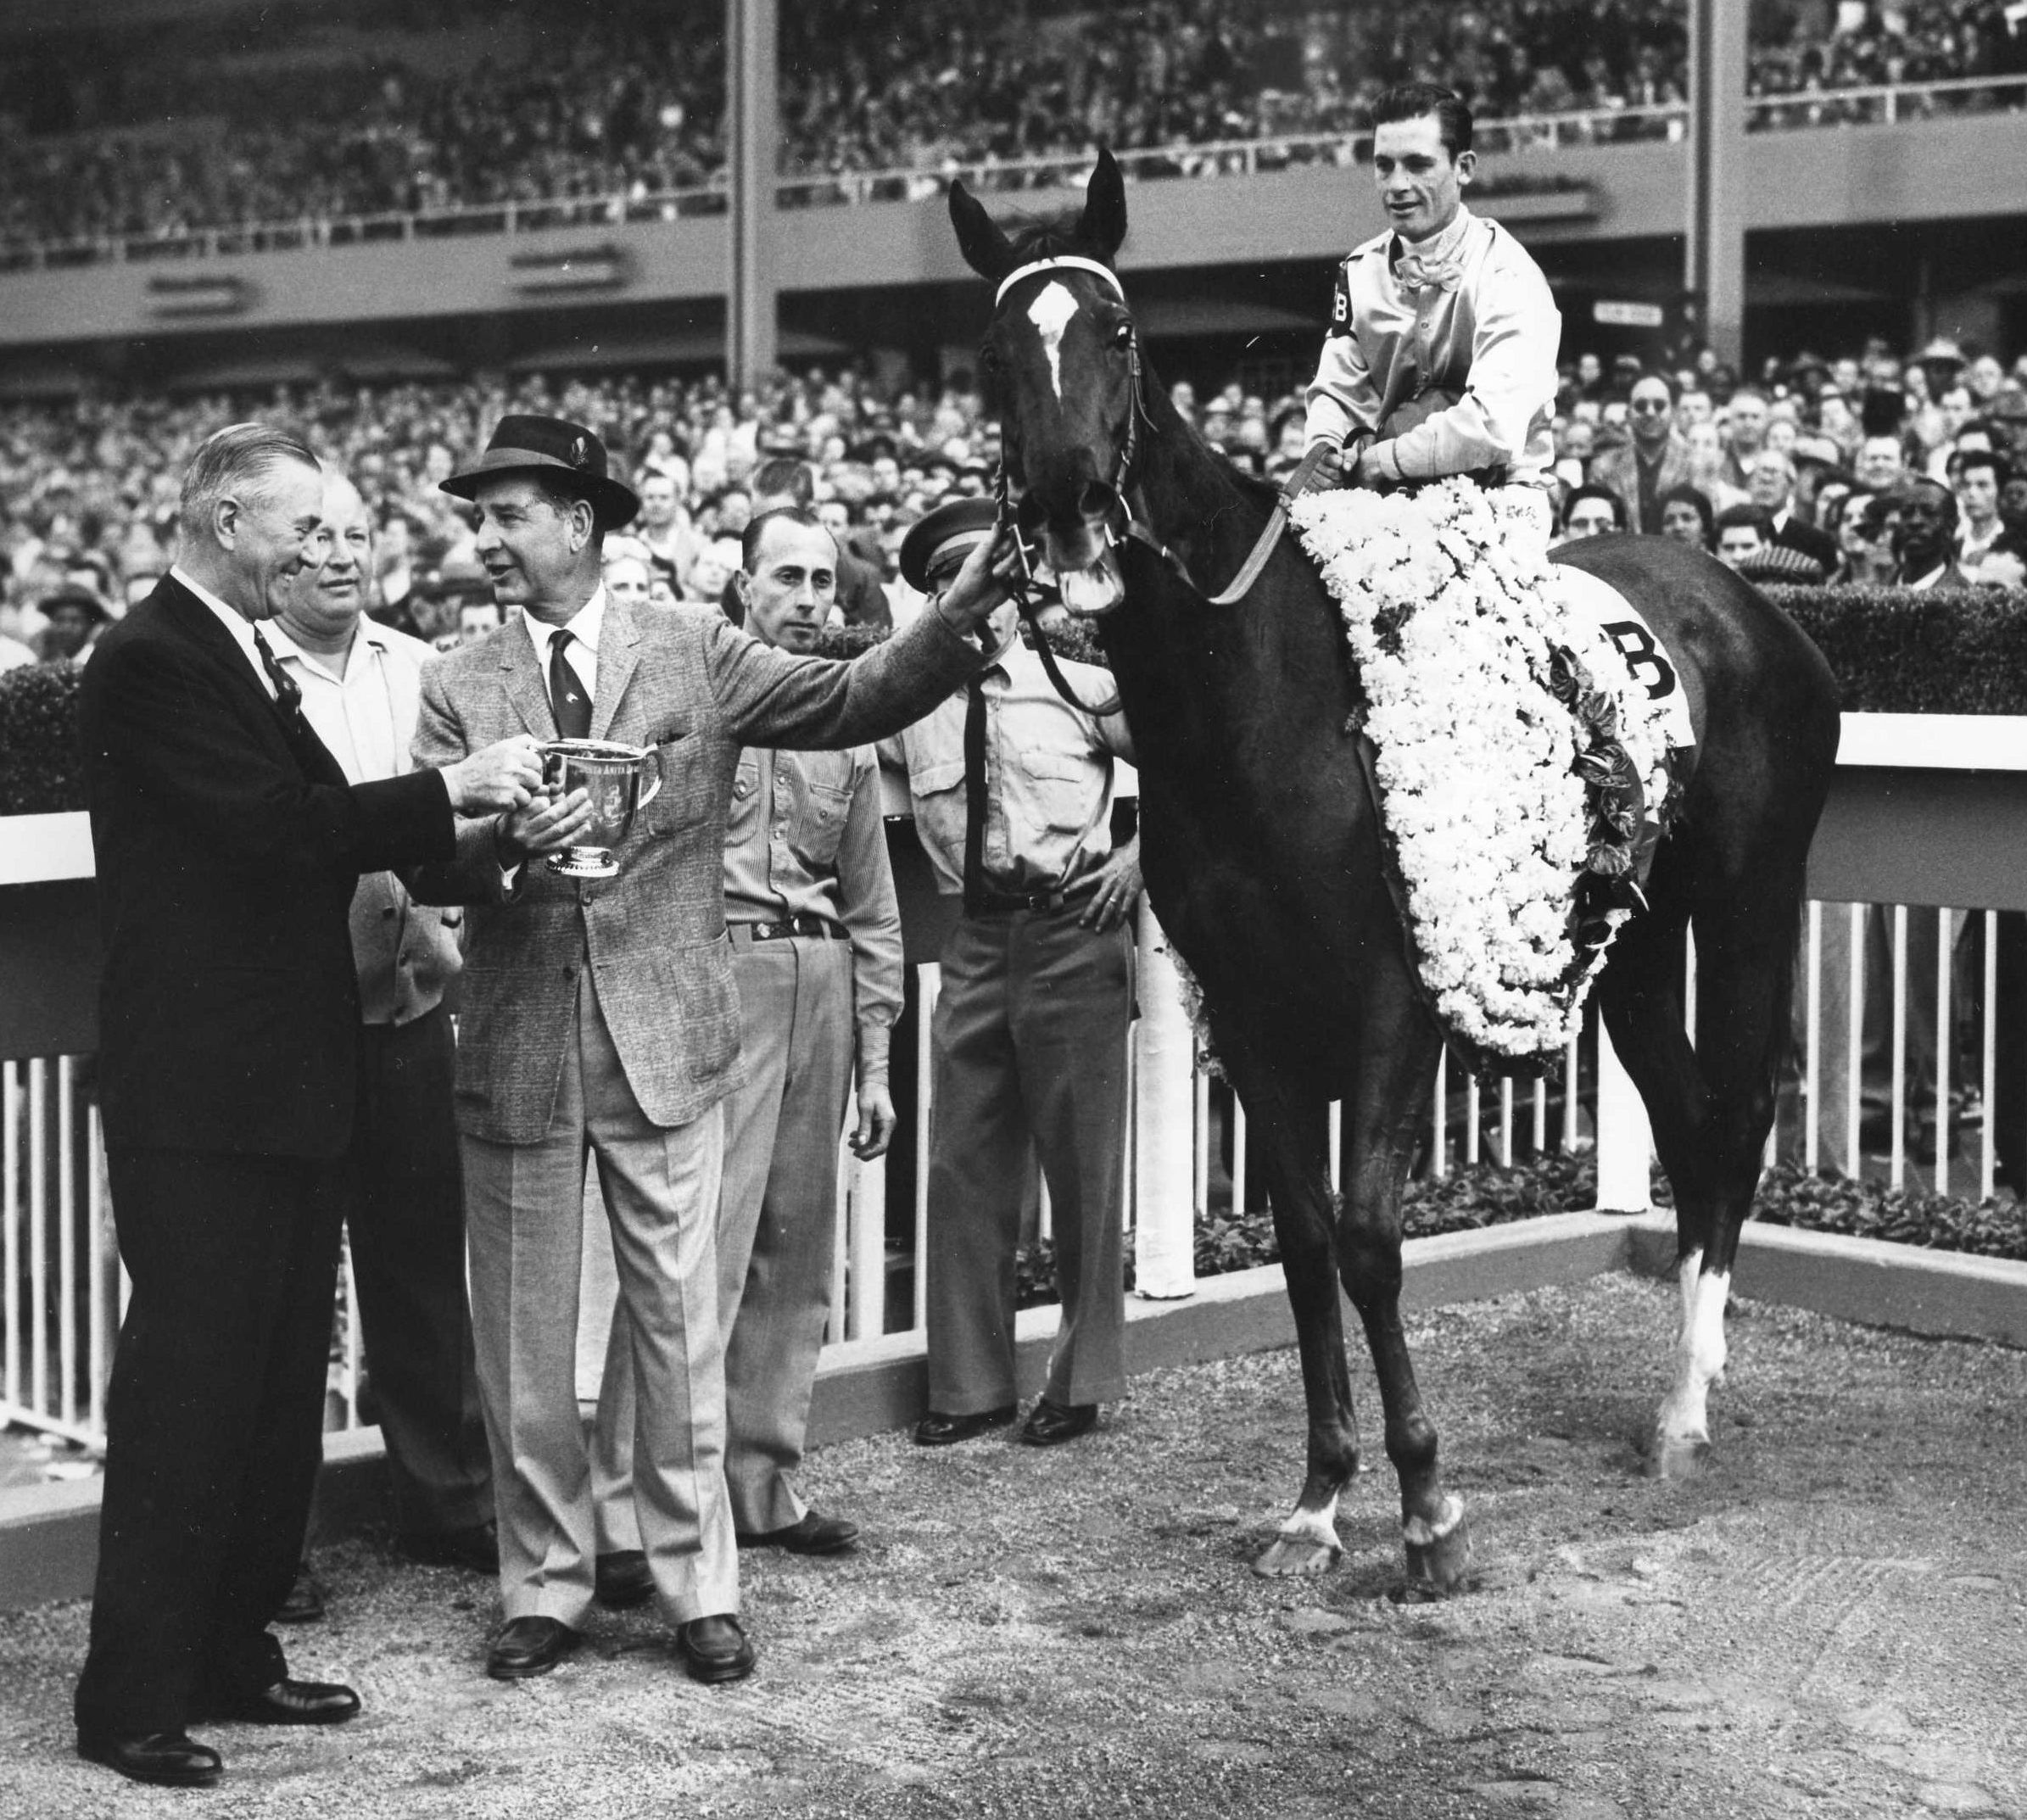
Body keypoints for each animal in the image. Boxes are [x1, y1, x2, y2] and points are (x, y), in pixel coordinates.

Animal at [948, 156, 1840, 1581]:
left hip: (1751, 898)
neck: (1260, 689)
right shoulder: (1249, 1004)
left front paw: (1425, 1502)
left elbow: (1370, 1236)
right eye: (992, 353)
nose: (1072, 504)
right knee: (1693, 1121)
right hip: (1632, 942)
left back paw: (1687, 1403)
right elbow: (1307, 1241)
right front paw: (1318, 1495)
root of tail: (1749, 604)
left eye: (1122, 332)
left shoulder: (1390, 993)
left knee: (1745, 1108)